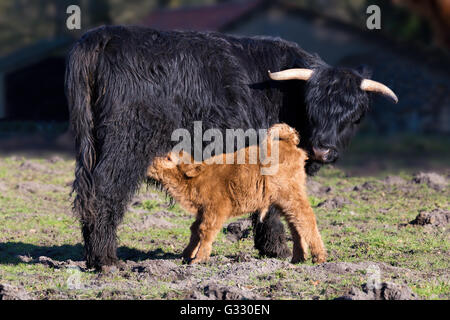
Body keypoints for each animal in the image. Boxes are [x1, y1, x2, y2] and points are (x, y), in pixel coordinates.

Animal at [64, 25, 398, 270]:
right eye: (313, 107)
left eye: (353, 116)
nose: (322, 151)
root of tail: (104, 35)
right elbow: (271, 207)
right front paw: (275, 249)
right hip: (126, 143)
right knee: (105, 189)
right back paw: (106, 259)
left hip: (91, 146)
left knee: (86, 190)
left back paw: (92, 255)